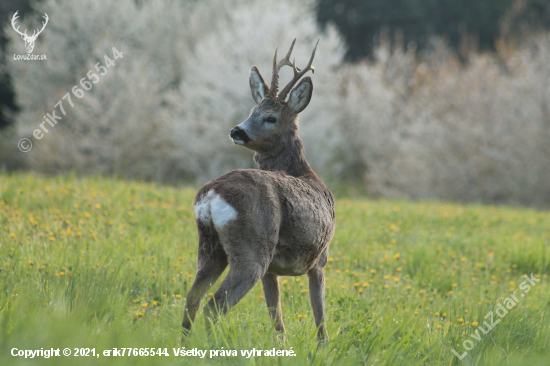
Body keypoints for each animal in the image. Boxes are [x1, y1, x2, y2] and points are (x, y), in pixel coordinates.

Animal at [183, 39, 336, 340]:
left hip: (209, 245)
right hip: (252, 246)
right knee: (213, 306)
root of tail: (211, 195)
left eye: (270, 118)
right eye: (252, 112)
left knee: (192, 299)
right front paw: (323, 346)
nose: (237, 131)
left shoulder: (273, 270)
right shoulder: (319, 259)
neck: (305, 173)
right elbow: (320, 320)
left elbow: (277, 320)